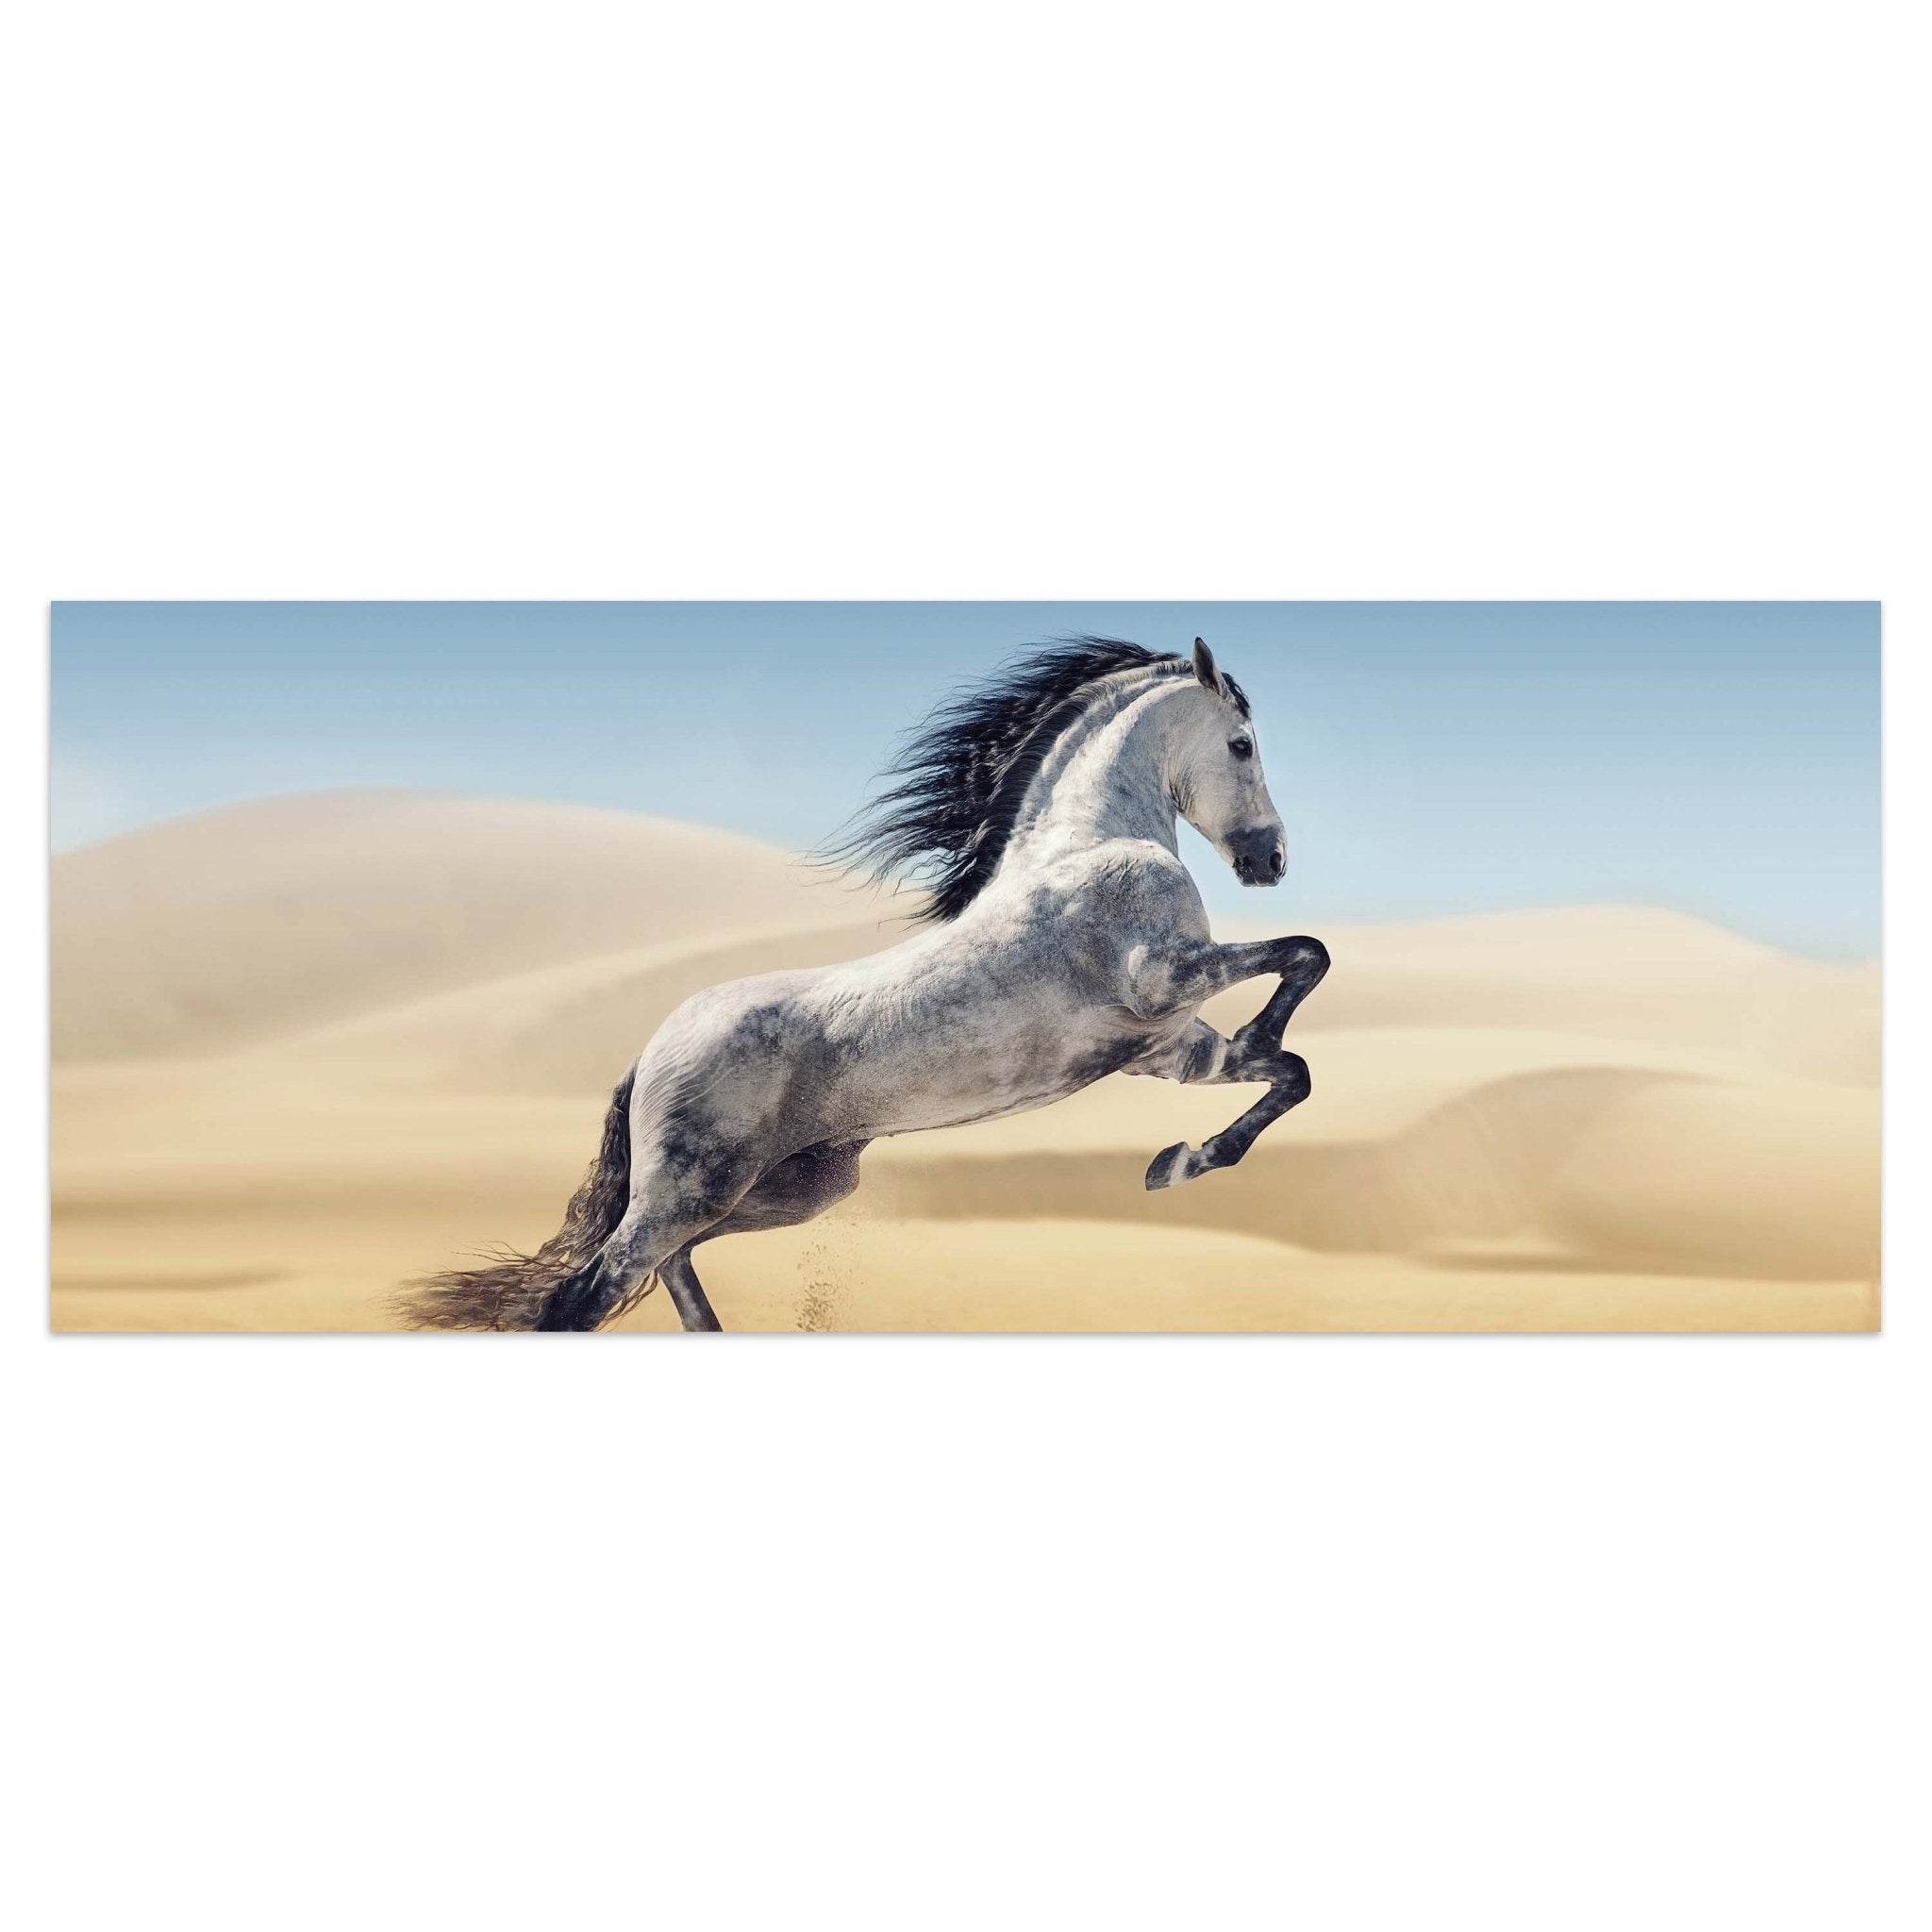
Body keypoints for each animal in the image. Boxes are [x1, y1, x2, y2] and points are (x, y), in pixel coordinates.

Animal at [399, 635, 1329, 1332]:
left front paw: (1179, 1162)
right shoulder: (1163, 979)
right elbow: (1305, 955)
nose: (1271, 860)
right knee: (588, 1293)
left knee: (669, 1269)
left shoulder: (1167, 1047)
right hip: (691, 1188)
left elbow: (1290, 1070)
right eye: (1243, 744)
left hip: (788, 1189)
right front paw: (1211, 1112)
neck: (1089, 844)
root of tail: (649, 1053)